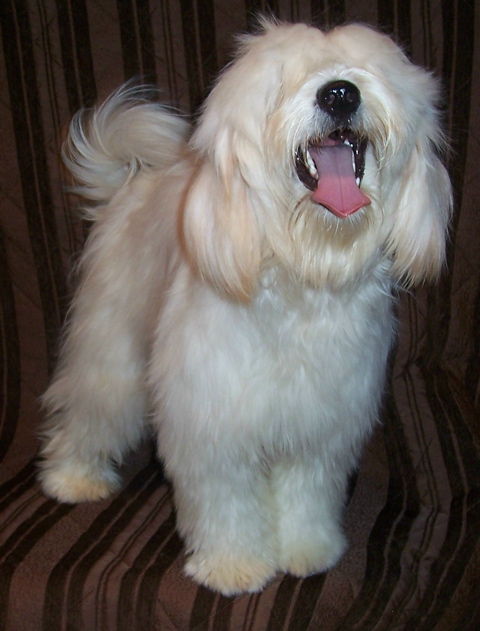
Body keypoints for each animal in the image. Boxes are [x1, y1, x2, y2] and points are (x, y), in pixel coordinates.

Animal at [38, 17, 454, 596]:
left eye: (362, 70)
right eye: (282, 85)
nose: (340, 93)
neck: (302, 277)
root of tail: (131, 184)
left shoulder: (318, 428)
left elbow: (306, 495)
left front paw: (307, 550)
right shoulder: (214, 426)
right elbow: (226, 504)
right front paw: (234, 565)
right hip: (113, 350)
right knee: (89, 409)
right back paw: (74, 477)